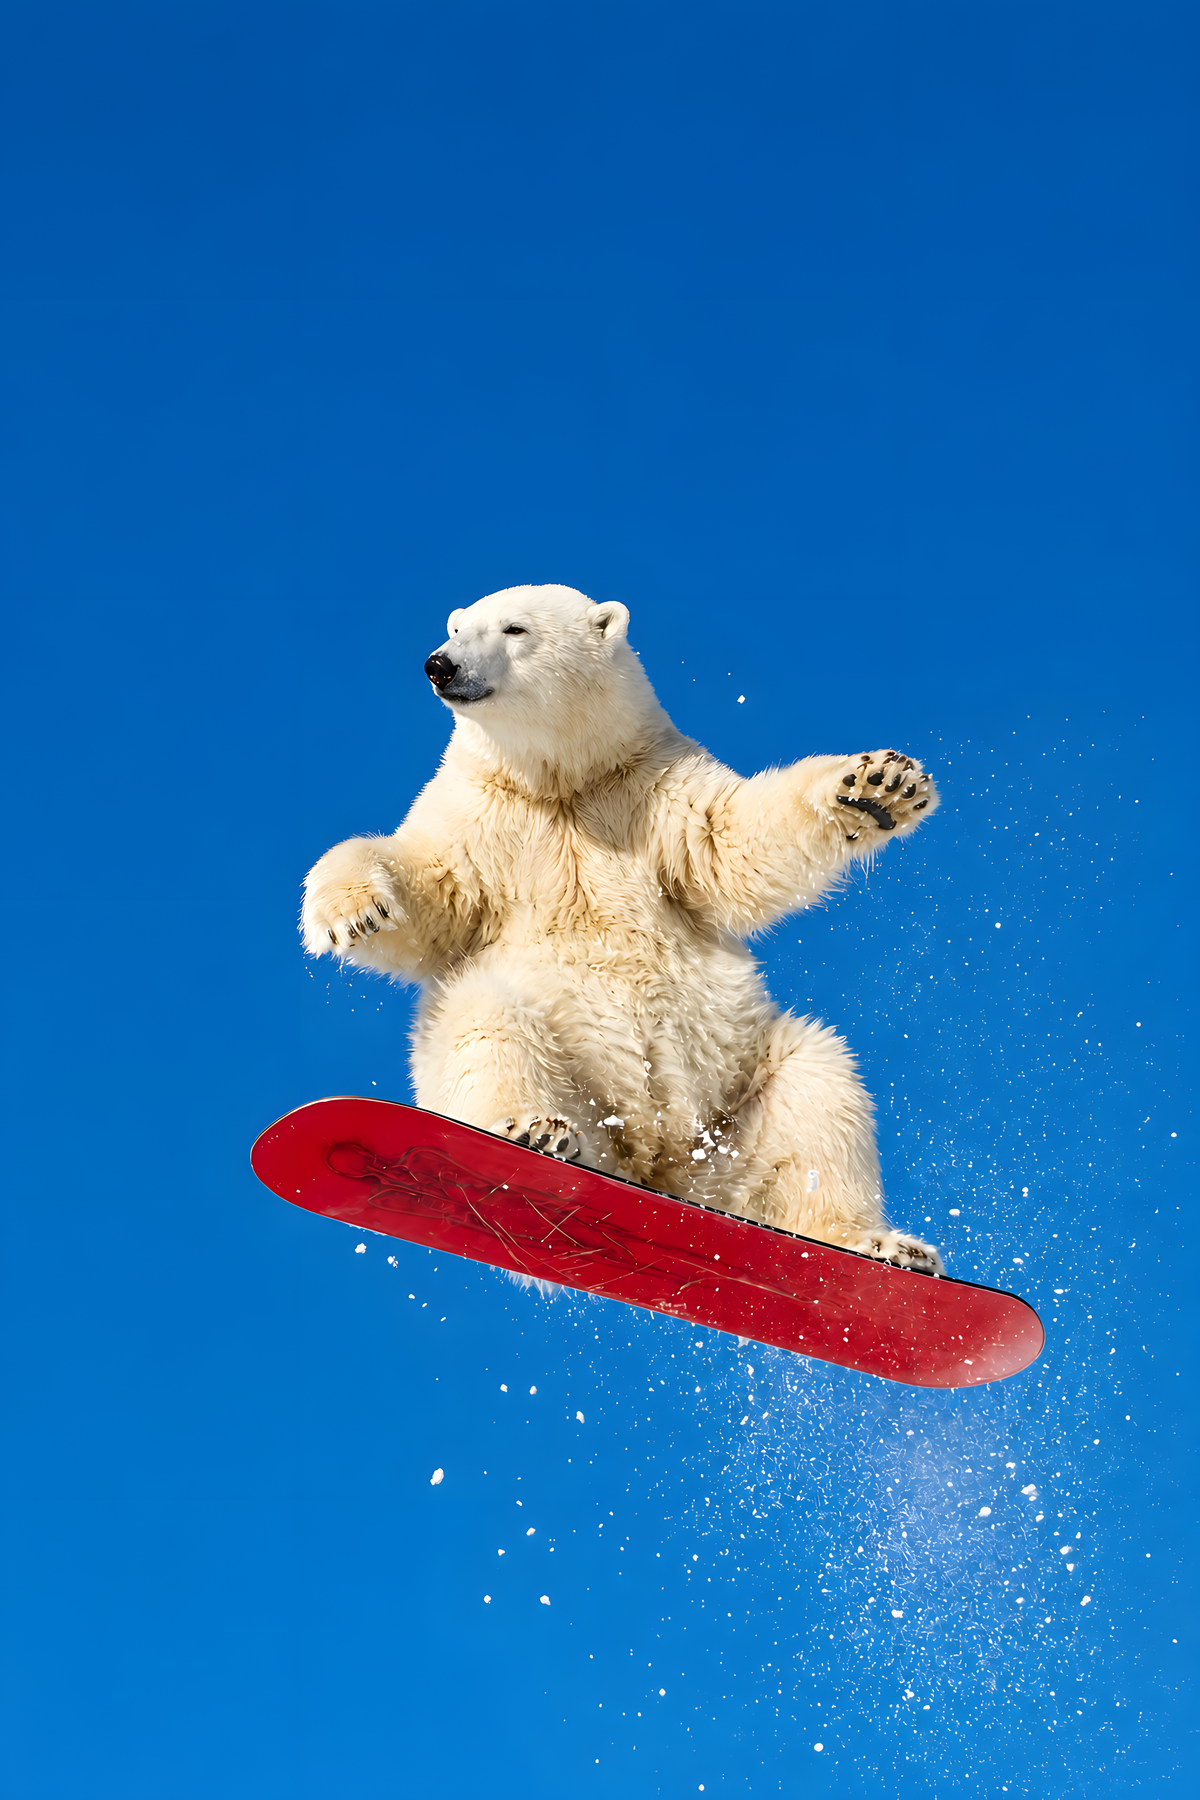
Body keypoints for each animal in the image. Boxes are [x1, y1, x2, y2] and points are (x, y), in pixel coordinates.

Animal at [301, 583, 943, 1274]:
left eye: (514, 628)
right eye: (456, 627)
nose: (439, 665)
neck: (563, 783)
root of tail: (661, 1174)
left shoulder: (652, 787)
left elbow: (732, 842)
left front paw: (879, 786)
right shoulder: (480, 814)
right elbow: (431, 892)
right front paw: (352, 909)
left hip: (738, 1094)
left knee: (819, 1087)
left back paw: (881, 1246)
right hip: (567, 1072)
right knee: (488, 1020)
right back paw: (534, 1133)